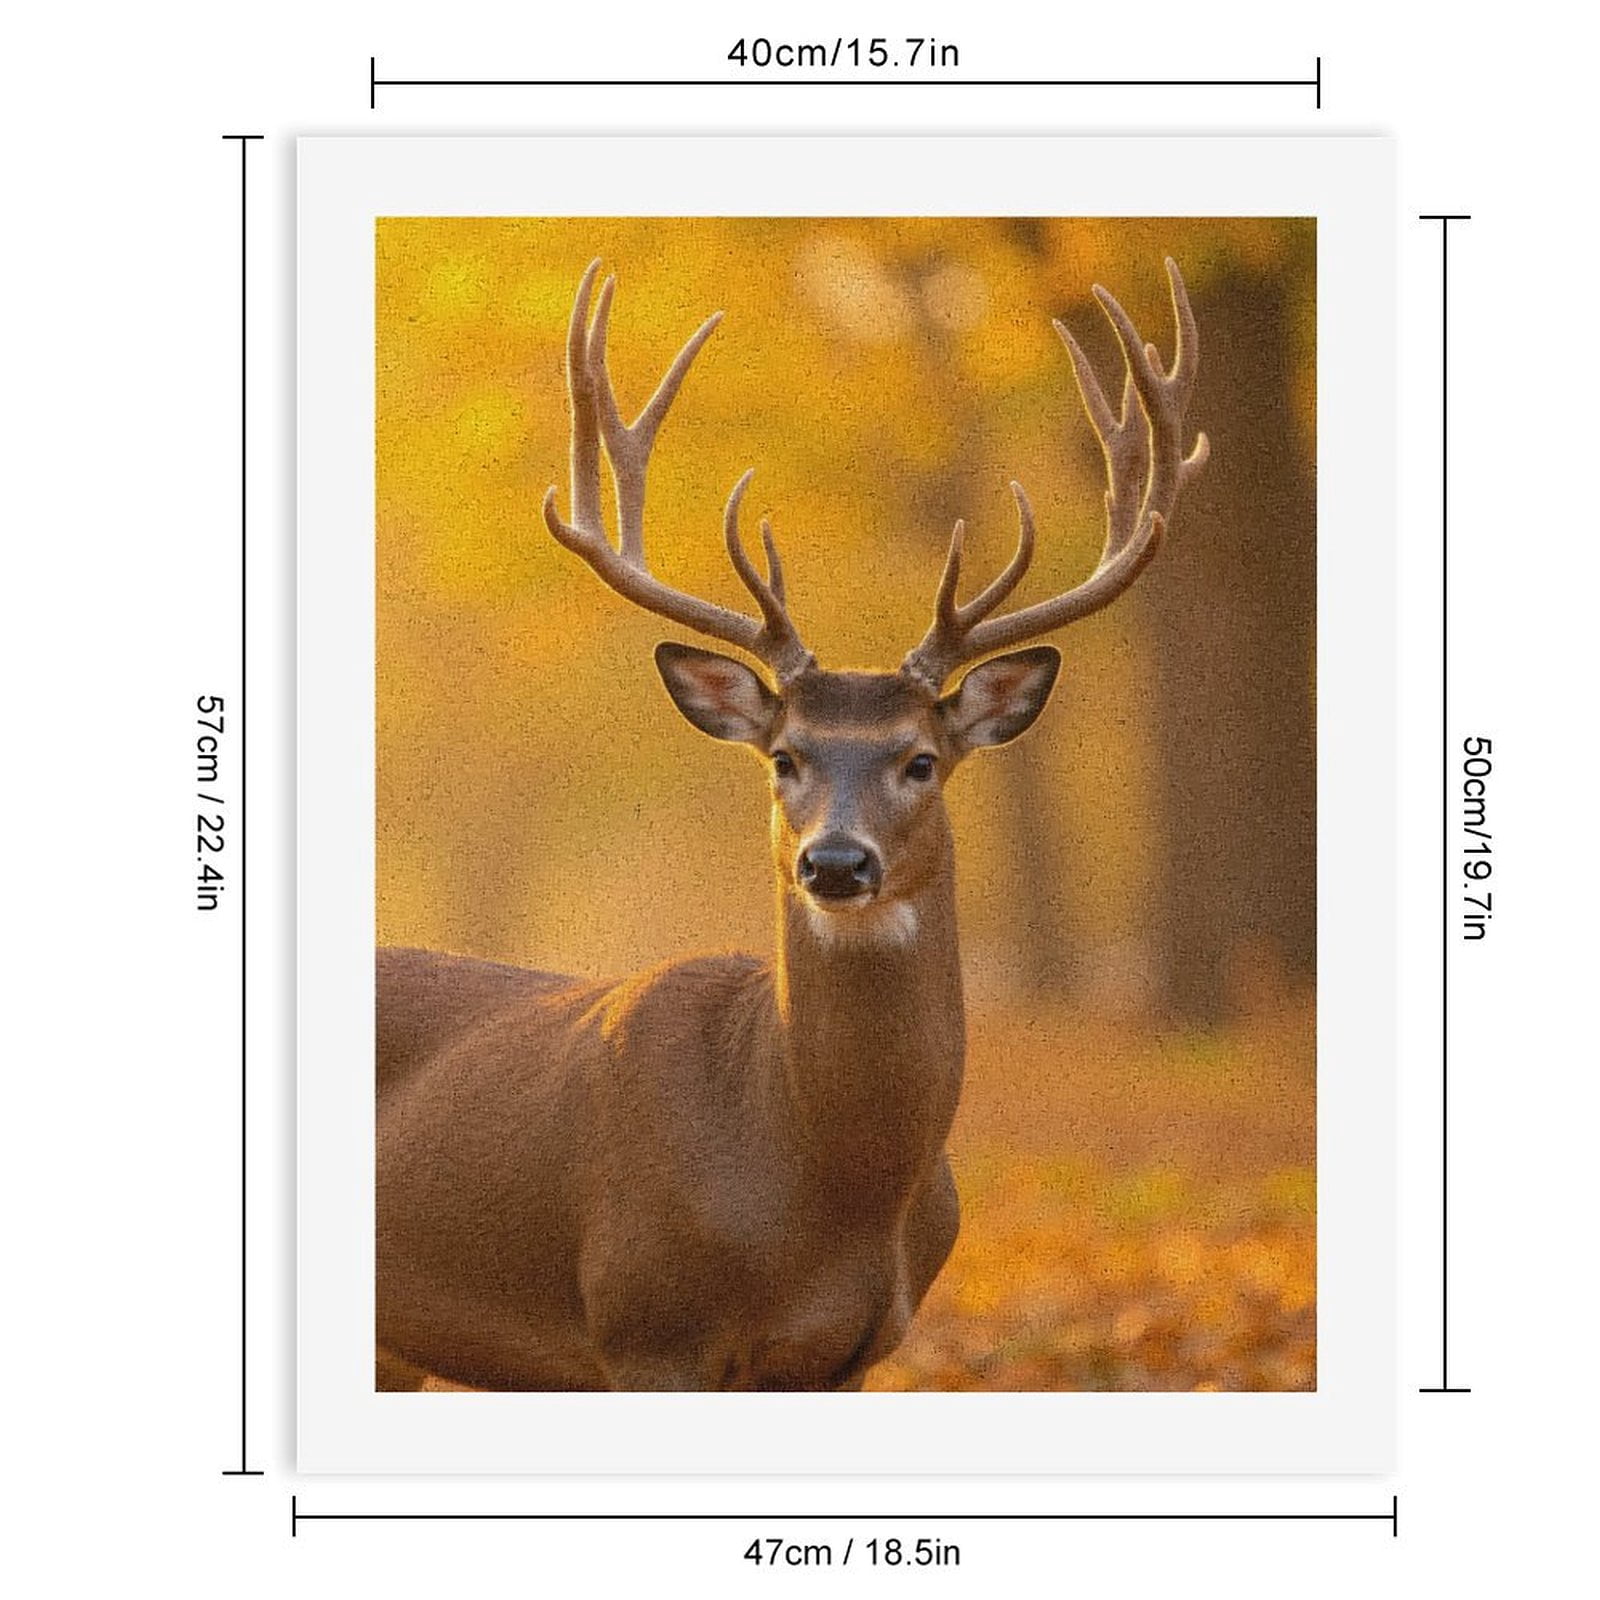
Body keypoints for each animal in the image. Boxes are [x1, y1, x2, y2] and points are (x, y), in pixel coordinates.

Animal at [376, 255, 1207, 1392]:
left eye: (920, 760)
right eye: (784, 757)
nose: (836, 863)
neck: (826, 1195)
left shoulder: (853, 1353)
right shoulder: (645, 1325)